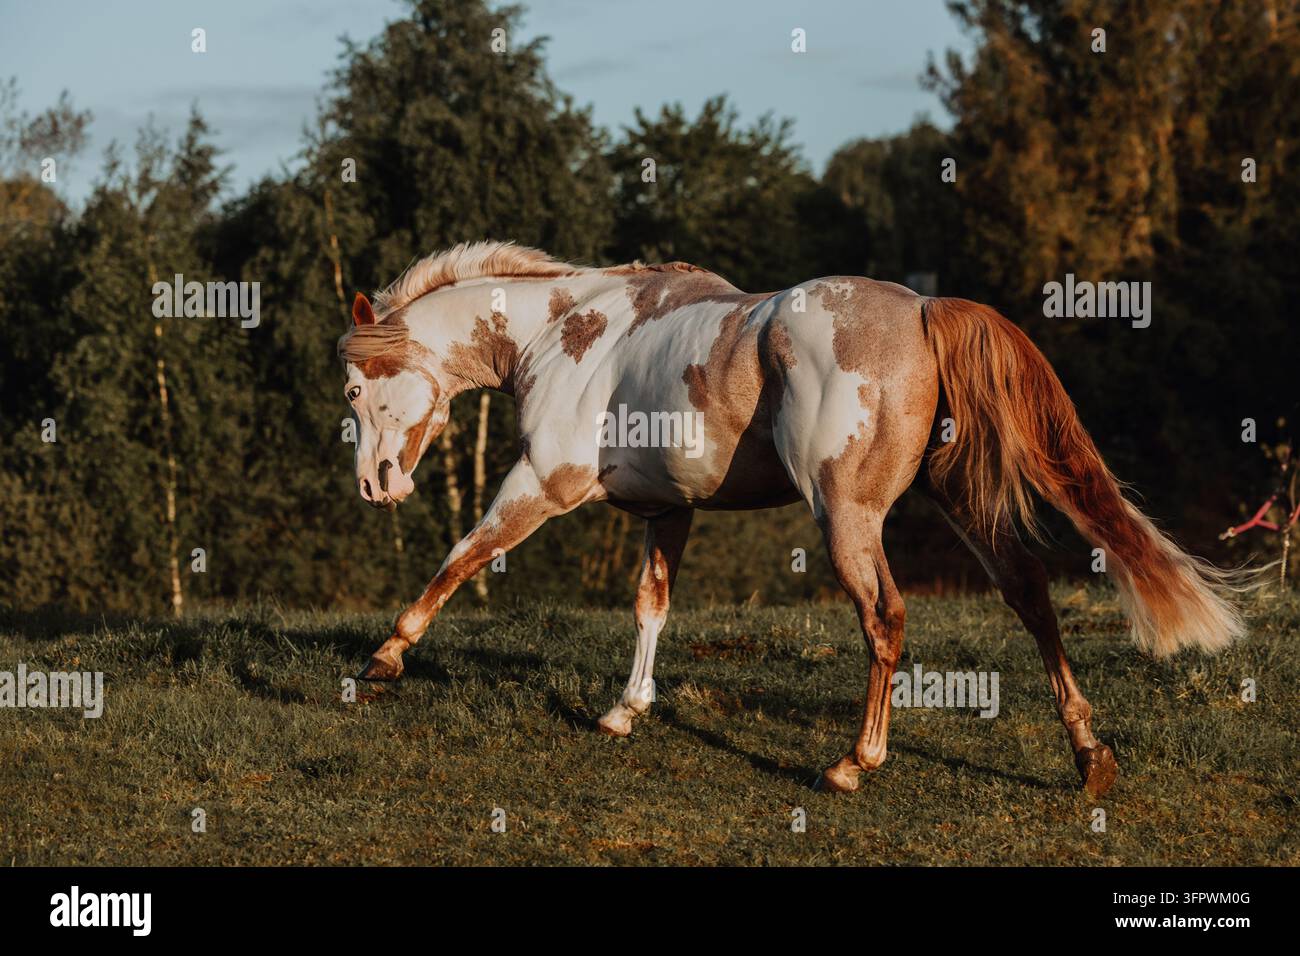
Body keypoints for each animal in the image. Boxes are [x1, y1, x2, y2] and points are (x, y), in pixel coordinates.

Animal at [338, 240, 1245, 795]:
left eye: (353, 390)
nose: (376, 487)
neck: (568, 332)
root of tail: (924, 312)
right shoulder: (670, 511)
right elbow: (651, 606)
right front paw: (626, 710)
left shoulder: (542, 484)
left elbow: (462, 555)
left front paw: (386, 657)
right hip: (954, 503)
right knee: (1028, 594)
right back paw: (1089, 756)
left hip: (848, 518)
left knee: (885, 616)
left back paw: (853, 763)